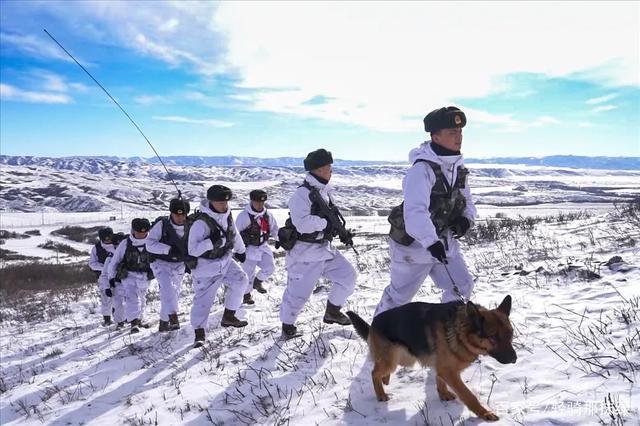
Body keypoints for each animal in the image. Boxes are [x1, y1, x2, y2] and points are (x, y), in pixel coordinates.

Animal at [348, 296, 516, 422]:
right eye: (493, 337)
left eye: (510, 334)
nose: (515, 359)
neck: (459, 331)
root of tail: (373, 324)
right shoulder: (449, 372)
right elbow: (469, 396)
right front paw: (485, 413)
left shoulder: (443, 368)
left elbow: (439, 379)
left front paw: (444, 395)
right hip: (393, 359)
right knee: (374, 372)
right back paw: (381, 394)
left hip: (401, 358)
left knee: (381, 370)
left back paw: (385, 380)